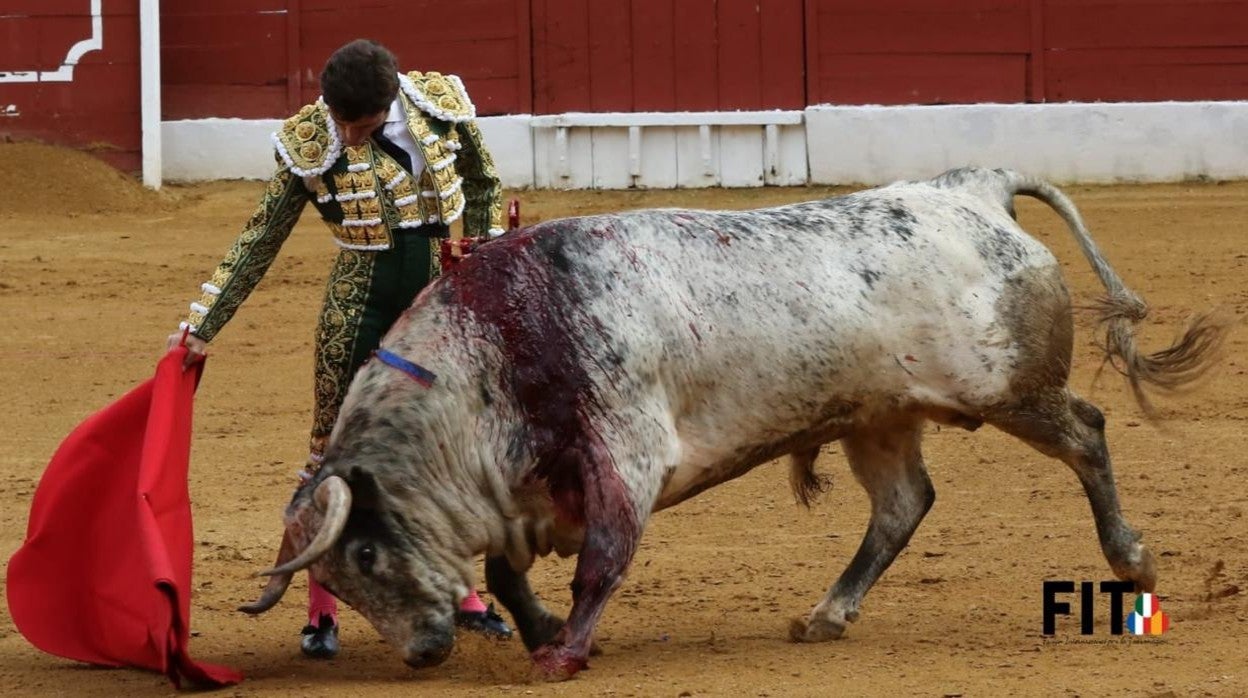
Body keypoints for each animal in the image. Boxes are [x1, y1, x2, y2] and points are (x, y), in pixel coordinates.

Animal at [238, 166, 1223, 679]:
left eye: (367, 554)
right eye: (344, 583)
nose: (424, 652)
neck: (491, 353)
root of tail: (973, 188)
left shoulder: (621, 457)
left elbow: (601, 562)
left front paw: (564, 653)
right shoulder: (520, 491)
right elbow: (509, 574)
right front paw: (545, 632)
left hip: (1004, 390)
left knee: (1087, 431)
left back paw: (1133, 561)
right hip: (880, 415)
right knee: (903, 504)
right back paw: (827, 614)